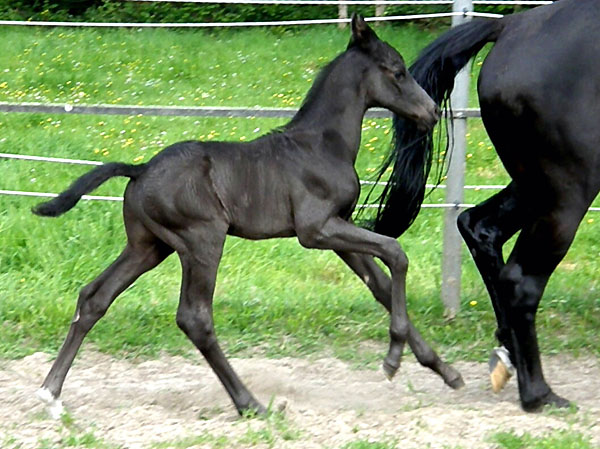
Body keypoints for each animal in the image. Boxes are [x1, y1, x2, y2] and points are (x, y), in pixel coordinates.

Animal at [34, 14, 464, 418]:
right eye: (398, 70)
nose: (430, 112)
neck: (322, 145)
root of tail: (139, 169)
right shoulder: (316, 230)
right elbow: (396, 253)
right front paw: (392, 359)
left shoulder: (339, 230)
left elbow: (380, 285)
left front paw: (445, 370)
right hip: (202, 241)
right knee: (194, 318)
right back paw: (250, 403)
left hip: (148, 246)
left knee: (94, 297)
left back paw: (50, 393)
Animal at [370, 0, 600, 410]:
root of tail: (513, 26)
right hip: (566, 194)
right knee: (520, 280)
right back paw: (538, 393)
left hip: (534, 187)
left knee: (479, 227)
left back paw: (508, 354)